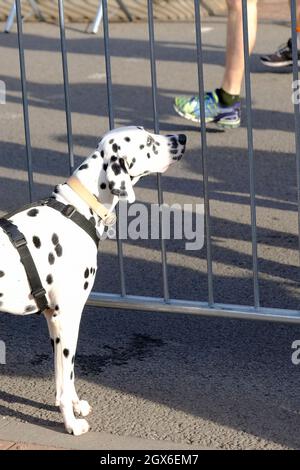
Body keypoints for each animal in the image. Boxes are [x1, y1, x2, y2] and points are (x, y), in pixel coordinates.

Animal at [0, 126, 186, 436]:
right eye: (148, 142)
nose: (182, 138)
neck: (76, 210)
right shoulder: (68, 317)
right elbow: (67, 376)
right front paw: (71, 423)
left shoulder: (53, 320)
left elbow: (66, 377)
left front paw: (75, 407)